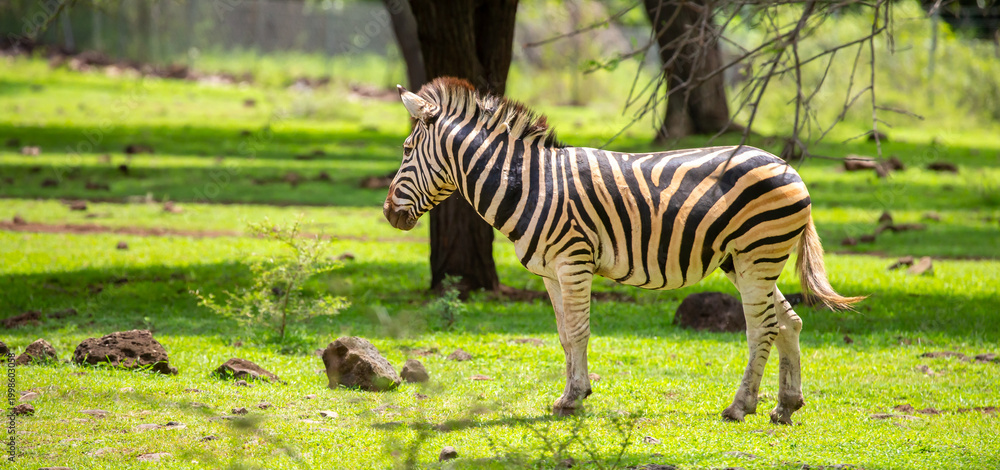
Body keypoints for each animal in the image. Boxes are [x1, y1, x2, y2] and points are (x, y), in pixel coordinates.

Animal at [384, 77, 863, 424]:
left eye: (406, 151)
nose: (388, 213)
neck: (530, 183)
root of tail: (788, 166)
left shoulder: (573, 261)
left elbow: (579, 331)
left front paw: (574, 398)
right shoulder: (549, 272)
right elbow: (563, 335)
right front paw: (569, 394)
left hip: (755, 255)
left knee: (762, 327)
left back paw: (740, 406)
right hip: (746, 261)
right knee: (789, 322)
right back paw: (785, 406)